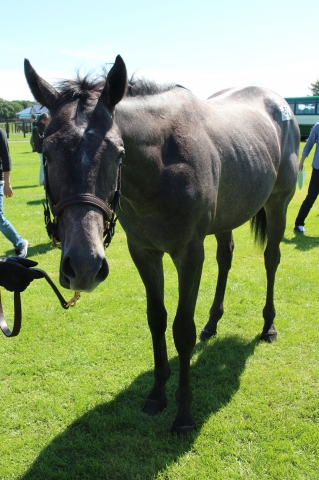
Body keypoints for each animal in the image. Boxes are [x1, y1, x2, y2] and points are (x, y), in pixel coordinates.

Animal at [24, 54, 300, 434]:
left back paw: (268, 325)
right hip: (227, 216)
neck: (162, 164)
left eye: (118, 154)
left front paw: (183, 414)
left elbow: (182, 329)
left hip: (277, 204)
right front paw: (157, 393)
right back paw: (213, 323)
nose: (84, 266)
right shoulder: (143, 251)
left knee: (272, 259)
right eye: (47, 153)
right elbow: (156, 318)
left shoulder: (189, 253)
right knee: (226, 258)